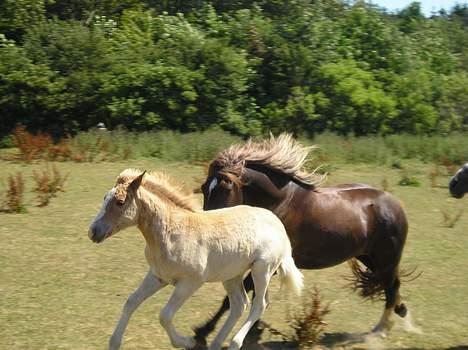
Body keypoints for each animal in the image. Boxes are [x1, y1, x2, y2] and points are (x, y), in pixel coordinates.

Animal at [88, 168, 304, 348]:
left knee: (259, 304)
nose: (93, 232)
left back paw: (234, 343)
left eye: (120, 202)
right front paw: (114, 342)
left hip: (262, 270)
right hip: (231, 275)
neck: (171, 232)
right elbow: (131, 301)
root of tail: (279, 225)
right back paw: (216, 344)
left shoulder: (191, 282)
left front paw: (187, 342)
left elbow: (165, 315)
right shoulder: (158, 276)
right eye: (105, 197)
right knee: (239, 304)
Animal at [194, 135, 410, 344]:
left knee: (391, 289)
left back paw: (380, 330)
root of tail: (395, 205)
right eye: (204, 188)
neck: (281, 204)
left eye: (227, 188)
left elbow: (236, 299)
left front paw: (202, 332)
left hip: (386, 260)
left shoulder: (270, 263)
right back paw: (400, 311)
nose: (208, 226)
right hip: (370, 258)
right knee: (392, 286)